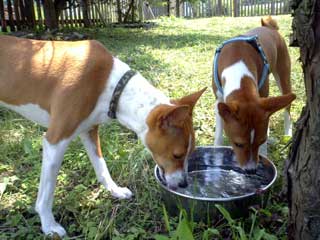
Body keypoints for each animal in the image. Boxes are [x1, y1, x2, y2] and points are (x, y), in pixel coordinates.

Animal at [0, 35, 205, 236]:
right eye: (177, 155)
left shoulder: (89, 130)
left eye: (190, 153)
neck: (111, 85)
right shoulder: (55, 140)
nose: (184, 184)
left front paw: (115, 191)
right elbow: (47, 191)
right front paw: (49, 225)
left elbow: (101, 165)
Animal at [212, 16, 298, 171]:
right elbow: (219, 136)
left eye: (261, 141)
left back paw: (288, 134)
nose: (251, 170)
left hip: (283, 77)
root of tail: (269, 27)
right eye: (238, 144)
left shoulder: (263, 97)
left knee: (287, 108)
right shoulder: (219, 100)